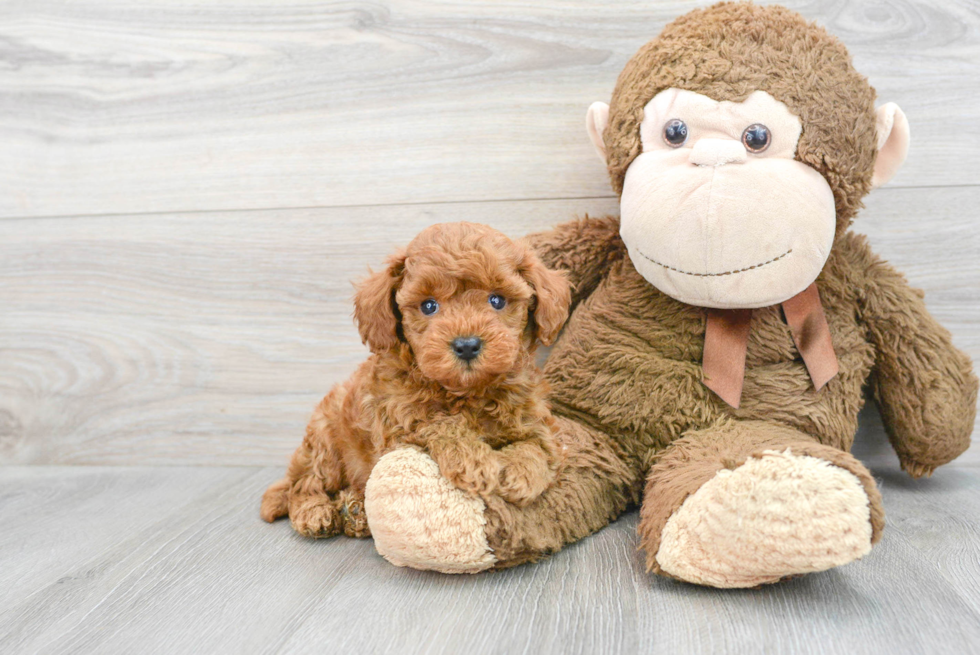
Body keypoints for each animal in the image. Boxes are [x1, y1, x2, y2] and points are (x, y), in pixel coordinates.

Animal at [260, 223, 572, 540]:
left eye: (497, 300)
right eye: (429, 306)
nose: (467, 345)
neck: (464, 392)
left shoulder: (535, 417)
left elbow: (540, 446)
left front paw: (522, 473)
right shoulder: (399, 427)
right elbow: (440, 422)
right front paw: (474, 461)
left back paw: (354, 511)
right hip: (325, 443)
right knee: (305, 484)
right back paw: (316, 512)